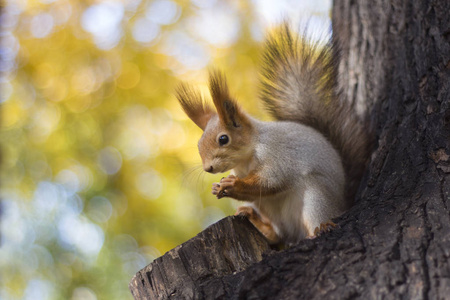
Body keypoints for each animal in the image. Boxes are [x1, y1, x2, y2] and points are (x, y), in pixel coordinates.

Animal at [175, 22, 370, 244]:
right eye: (199, 144)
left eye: (223, 139)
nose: (208, 168)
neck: (246, 158)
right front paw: (218, 188)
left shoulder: (278, 156)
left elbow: (272, 181)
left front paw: (233, 184)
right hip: (270, 210)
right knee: (278, 236)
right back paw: (259, 223)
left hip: (317, 198)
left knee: (316, 216)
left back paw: (320, 228)